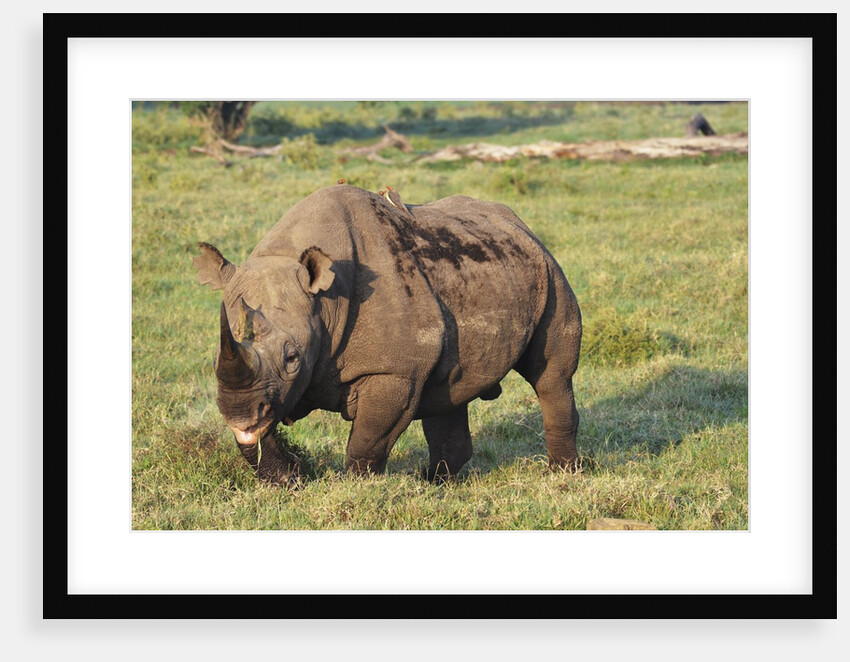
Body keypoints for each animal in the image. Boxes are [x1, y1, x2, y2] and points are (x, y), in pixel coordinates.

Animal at [193, 184, 581, 483]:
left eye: (292, 358)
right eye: (214, 360)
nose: (238, 413)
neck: (323, 303)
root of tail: (520, 224)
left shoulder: (395, 371)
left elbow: (368, 439)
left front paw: (358, 486)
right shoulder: (267, 388)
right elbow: (260, 434)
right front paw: (289, 481)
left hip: (550, 271)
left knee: (551, 377)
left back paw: (563, 473)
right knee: (447, 391)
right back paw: (434, 483)